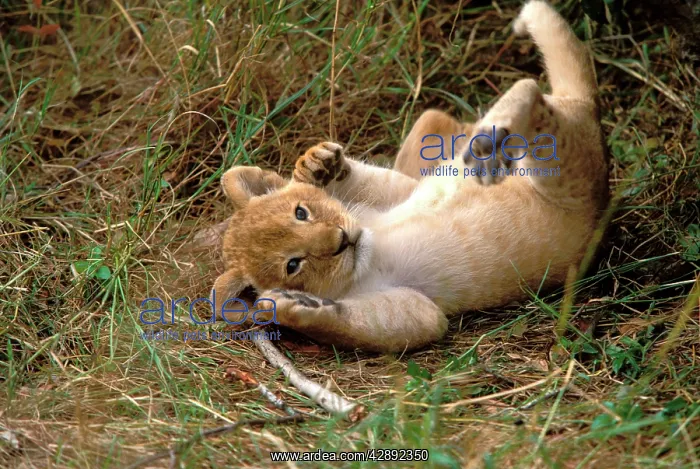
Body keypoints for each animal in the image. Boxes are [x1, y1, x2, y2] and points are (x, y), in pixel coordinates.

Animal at [211, 0, 609, 352]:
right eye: (292, 265)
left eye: (300, 212)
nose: (342, 240)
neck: (371, 242)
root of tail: (588, 110)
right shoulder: (417, 307)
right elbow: (370, 325)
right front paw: (293, 307)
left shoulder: (398, 192)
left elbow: (376, 182)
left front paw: (316, 165)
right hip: (572, 171)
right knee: (534, 96)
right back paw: (491, 137)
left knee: (523, 93)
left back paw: (488, 134)